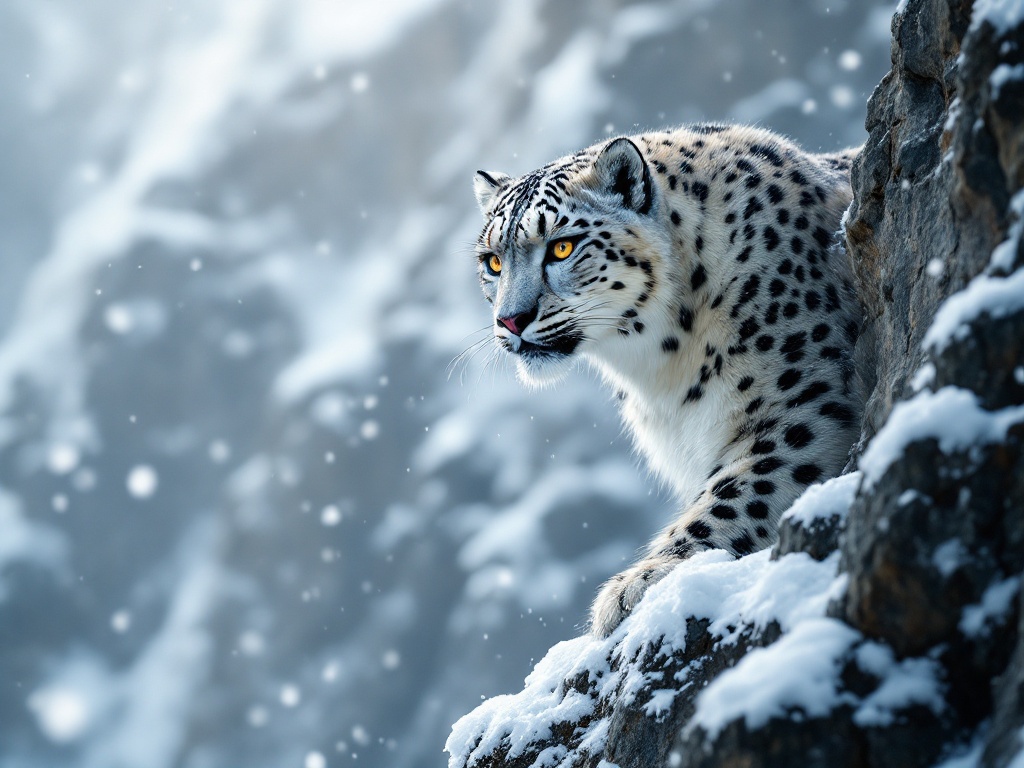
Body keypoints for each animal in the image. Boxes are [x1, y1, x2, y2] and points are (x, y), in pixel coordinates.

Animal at [471, 124, 862, 638]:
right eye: (493, 262)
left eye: (562, 246)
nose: (511, 319)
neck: (665, 372)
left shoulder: (806, 403)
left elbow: (736, 492)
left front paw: (638, 583)